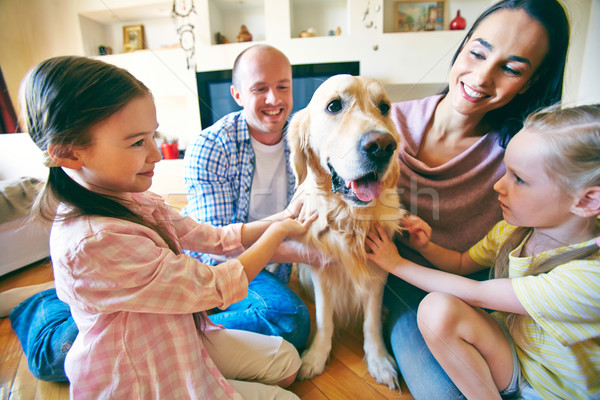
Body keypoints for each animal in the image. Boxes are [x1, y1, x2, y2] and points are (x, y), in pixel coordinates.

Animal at [288, 73, 408, 390]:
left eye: (384, 107)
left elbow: (371, 321)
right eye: (334, 106)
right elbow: (324, 319)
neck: (349, 220)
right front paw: (316, 356)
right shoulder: (320, 271)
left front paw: (378, 361)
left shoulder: (378, 273)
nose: (382, 145)